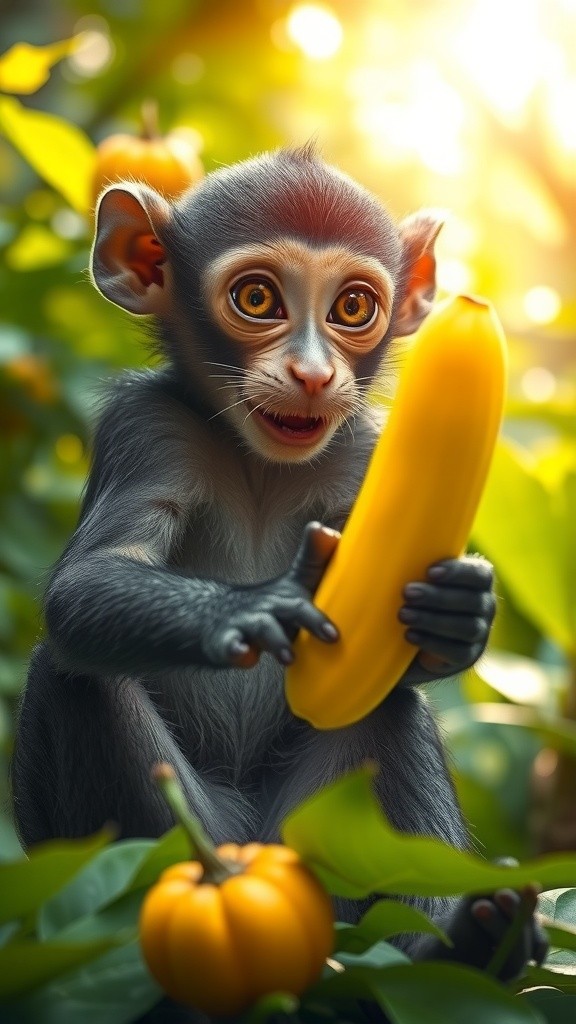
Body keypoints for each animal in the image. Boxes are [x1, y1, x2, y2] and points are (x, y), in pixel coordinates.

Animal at [11, 146, 546, 1010]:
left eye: (353, 307)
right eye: (257, 298)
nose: (313, 374)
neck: (261, 465)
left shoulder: (361, 452)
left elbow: (405, 667)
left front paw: (458, 615)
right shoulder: (148, 428)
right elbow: (87, 584)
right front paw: (256, 606)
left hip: (326, 848)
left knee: (392, 712)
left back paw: (468, 945)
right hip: (175, 840)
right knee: (73, 670)